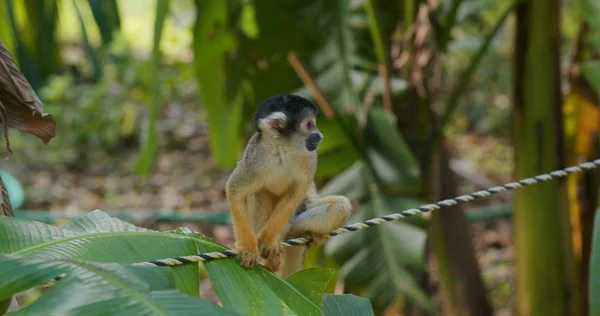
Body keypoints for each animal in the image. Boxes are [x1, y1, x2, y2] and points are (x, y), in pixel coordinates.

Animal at [227, 94, 354, 276]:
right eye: (309, 125)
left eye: (314, 124)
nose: (320, 135)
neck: (284, 149)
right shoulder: (256, 155)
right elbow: (237, 189)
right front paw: (248, 248)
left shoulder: (310, 157)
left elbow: (297, 192)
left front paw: (268, 241)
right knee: (261, 193)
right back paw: (270, 259)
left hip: (298, 213)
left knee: (339, 205)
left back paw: (303, 233)